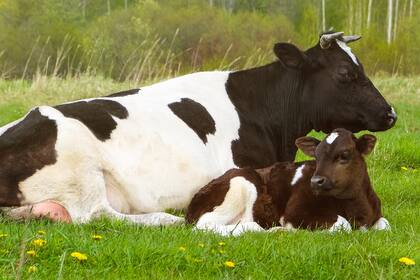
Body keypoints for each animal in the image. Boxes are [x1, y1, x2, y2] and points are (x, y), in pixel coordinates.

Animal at [187, 129, 390, 236]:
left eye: (344, 155)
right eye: (316, 156)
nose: (315, 181)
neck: (356, 207)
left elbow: (386, 225)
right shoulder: (295, 212)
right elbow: (342, 225)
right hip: (241, 184)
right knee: (205, 226)